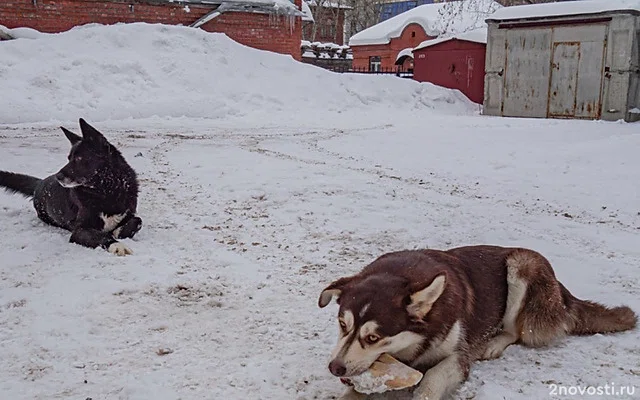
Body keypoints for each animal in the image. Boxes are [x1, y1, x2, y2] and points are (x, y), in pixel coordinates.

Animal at [0, 119, 142, 256]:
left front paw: (118, 231)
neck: (107, 190)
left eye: (79, 158)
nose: (58, 177)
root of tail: (40, 183)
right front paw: (117, 245)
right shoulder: (80, 230)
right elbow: (101, 235)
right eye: (69, 158)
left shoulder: (129, 214)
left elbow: (137, 221)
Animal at [320, 245, 636, 398]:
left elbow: (432, 379)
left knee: (517, 330)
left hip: (522, 266)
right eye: (343, 325)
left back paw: (494, 343)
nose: (335, 367)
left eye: (373, 337)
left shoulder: (457, 357)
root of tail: (560, 288)